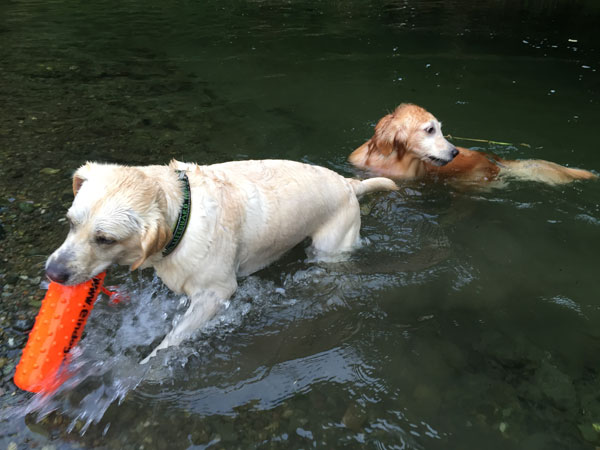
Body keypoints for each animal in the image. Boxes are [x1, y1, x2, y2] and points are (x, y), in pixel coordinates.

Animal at [44, 160, 396, 360]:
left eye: (106, 239)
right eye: (70, 222)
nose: (52, 272)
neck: (182, 218)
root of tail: (349, 184)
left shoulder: (215, 294)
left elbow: (170, 342)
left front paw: (143, 369)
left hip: (330, 246)